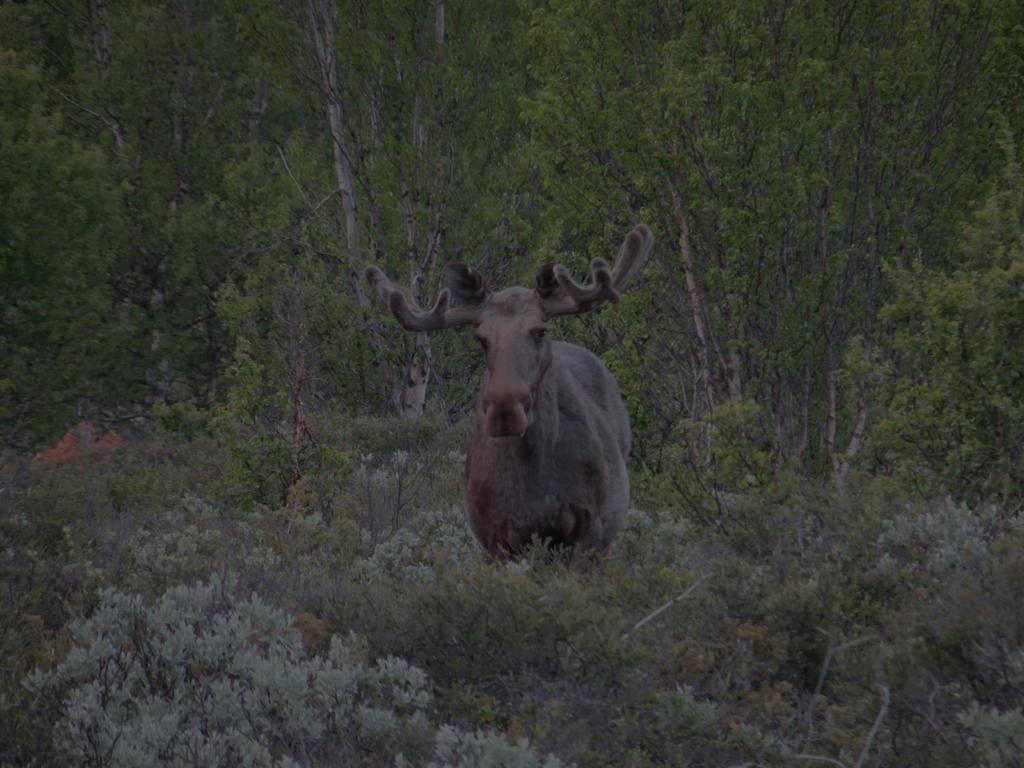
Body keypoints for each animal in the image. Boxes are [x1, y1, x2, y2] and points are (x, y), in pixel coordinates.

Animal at [366, 225, 655, 561]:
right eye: (481, 338)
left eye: (540, 330)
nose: (505, 409)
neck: (536, 476)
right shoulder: (497, 537)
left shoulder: (590, 531)